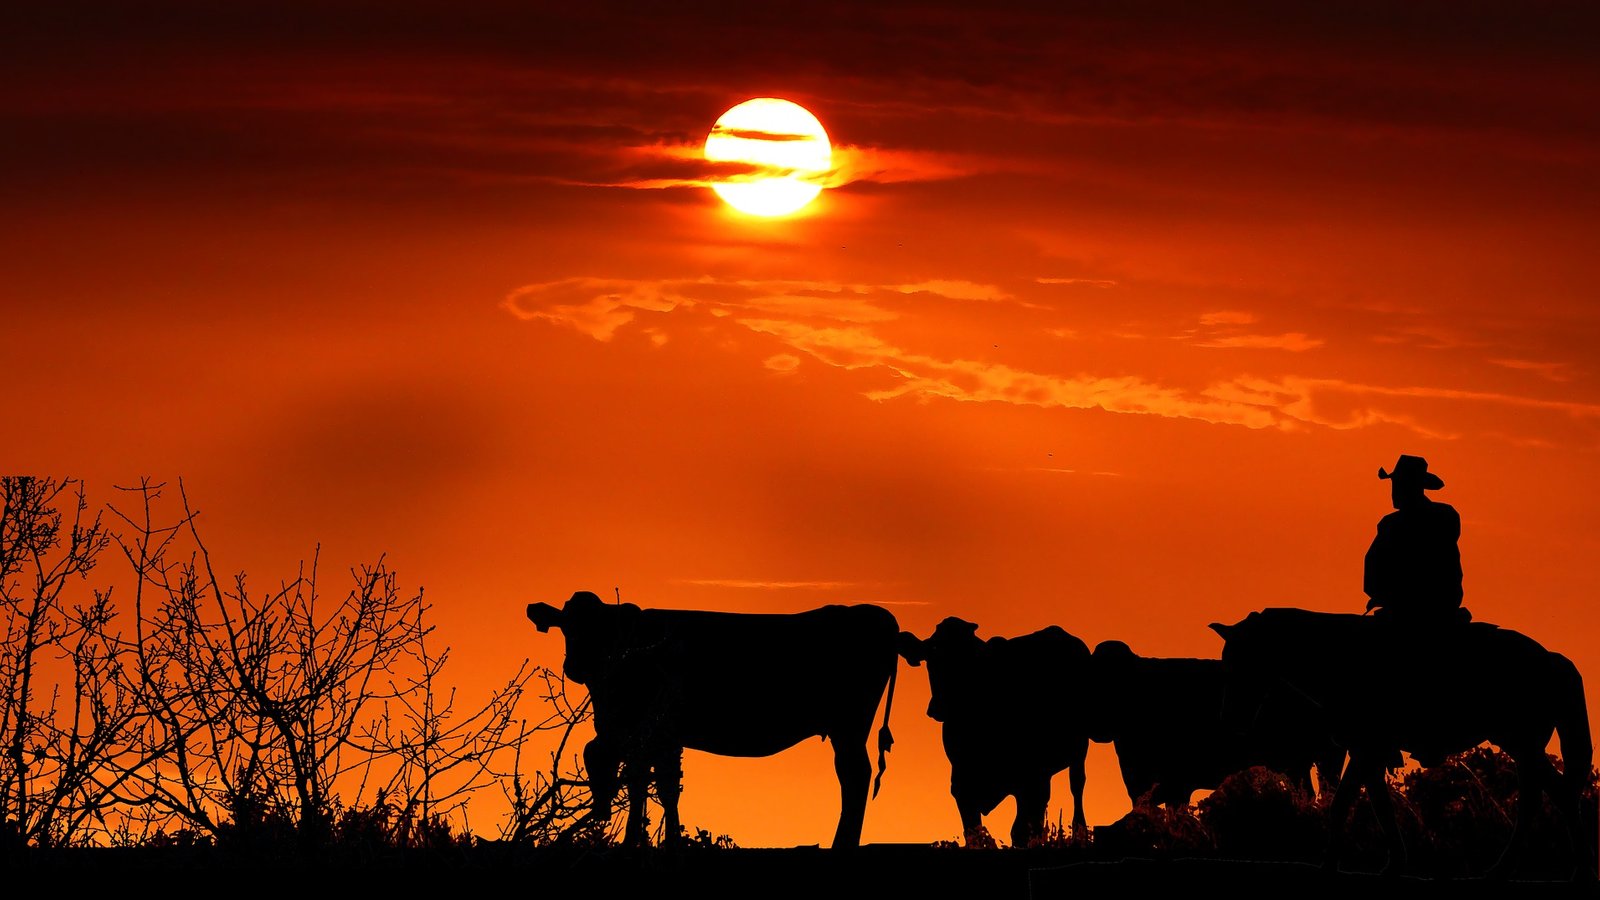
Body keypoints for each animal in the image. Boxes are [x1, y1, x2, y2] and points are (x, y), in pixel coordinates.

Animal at [528, 592, 896, 845]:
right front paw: (667, 842)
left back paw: (843, 844)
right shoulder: (654, 737)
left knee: (855, 775)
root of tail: (877, 616)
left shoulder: (652, 731)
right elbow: (660, 787)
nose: (576, 665)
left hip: (849, 726)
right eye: (565, 626)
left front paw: (636, 842)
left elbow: (645, 784)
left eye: (602, 630)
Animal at [896, 611, 1094, 845]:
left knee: (1077, 788)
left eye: (970, 661)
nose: (938, 707)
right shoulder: (962, 786)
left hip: (1078, 750)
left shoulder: (1028, 780)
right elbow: (973, 833)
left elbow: (1021, 832)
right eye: (931, 656)